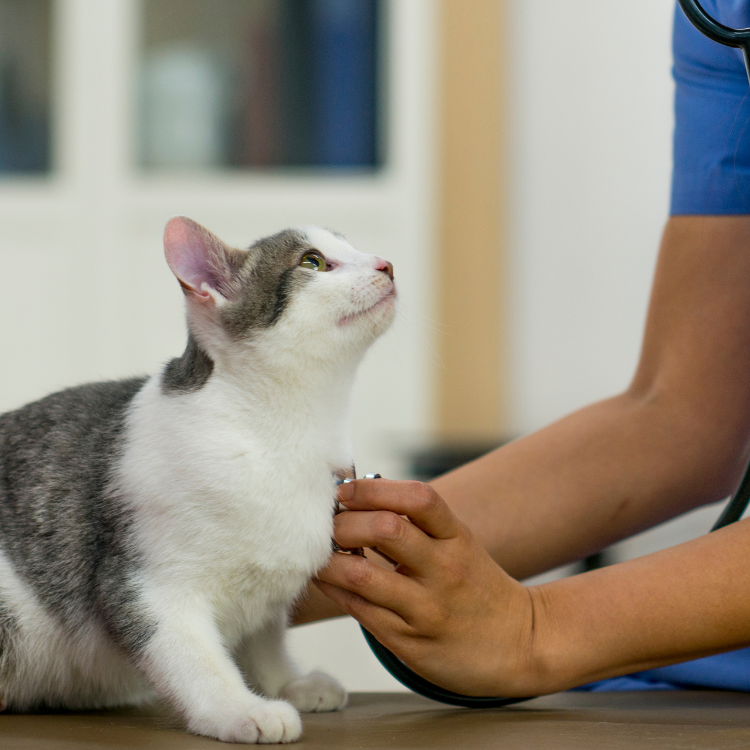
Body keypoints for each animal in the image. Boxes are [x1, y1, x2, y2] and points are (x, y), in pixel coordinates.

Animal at [0, 219, 400, 748]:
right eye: (312, 262)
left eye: (353, 247)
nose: (387, 264)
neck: (284, 436)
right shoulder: (147, 583)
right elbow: (194, 658)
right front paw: (239, 708)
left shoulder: (265, 594)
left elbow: (265, 639)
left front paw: (286, 683)